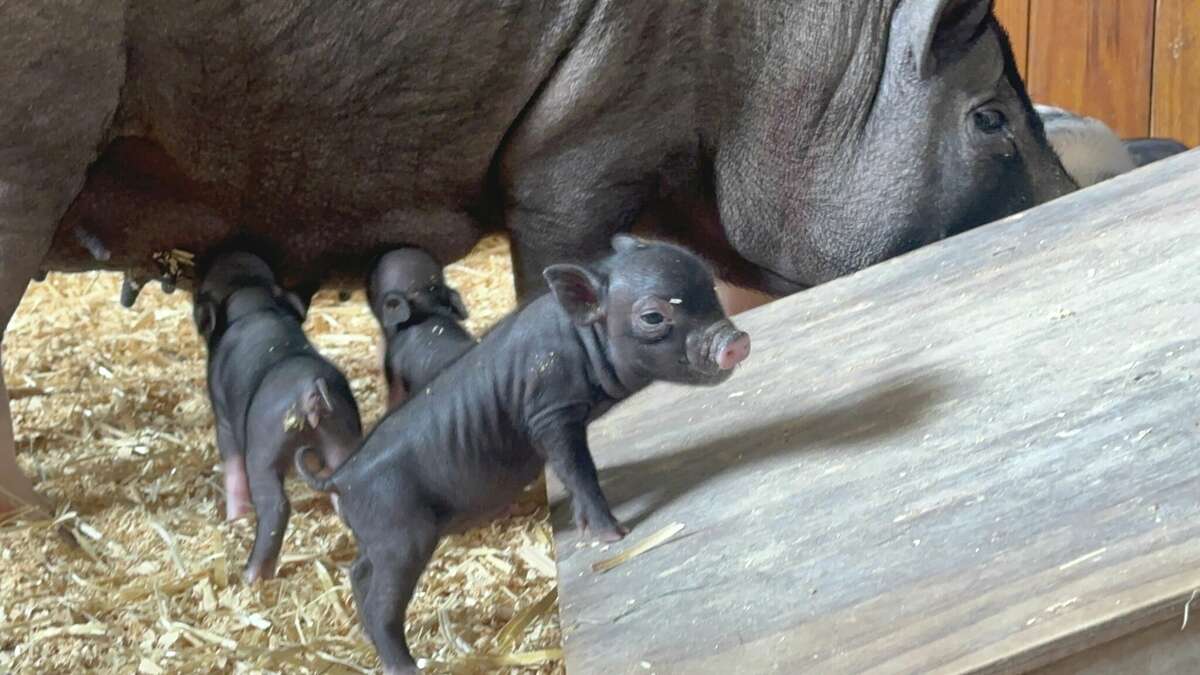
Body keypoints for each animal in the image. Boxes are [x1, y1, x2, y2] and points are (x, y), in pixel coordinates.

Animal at [194, 251, 362, 584]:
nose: (234, 252)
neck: (252, 300)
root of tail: (311, 389)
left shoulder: (224, 418)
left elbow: (232, 465)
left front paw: (236, 519)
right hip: (343, 435)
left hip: (264, 450)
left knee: (276, 506)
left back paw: (251, 575)